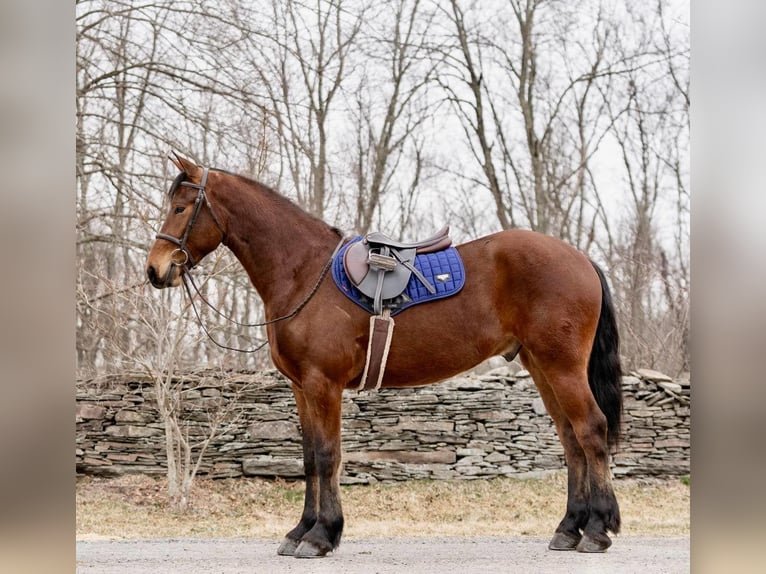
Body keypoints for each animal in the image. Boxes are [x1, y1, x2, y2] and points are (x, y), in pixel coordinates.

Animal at [145, 154, 623, 558]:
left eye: (181, 209)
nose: (155, 269)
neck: (303, 272)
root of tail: (580, 258)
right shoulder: (301, 388)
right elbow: (309, 458)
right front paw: (300, 531)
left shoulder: (323, 385)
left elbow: (327, 456)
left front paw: (321, 536)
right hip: (541, 367)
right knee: (570, 439)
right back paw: (569, 529)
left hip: (562, 368)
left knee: (590, 430)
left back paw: (597, 530)